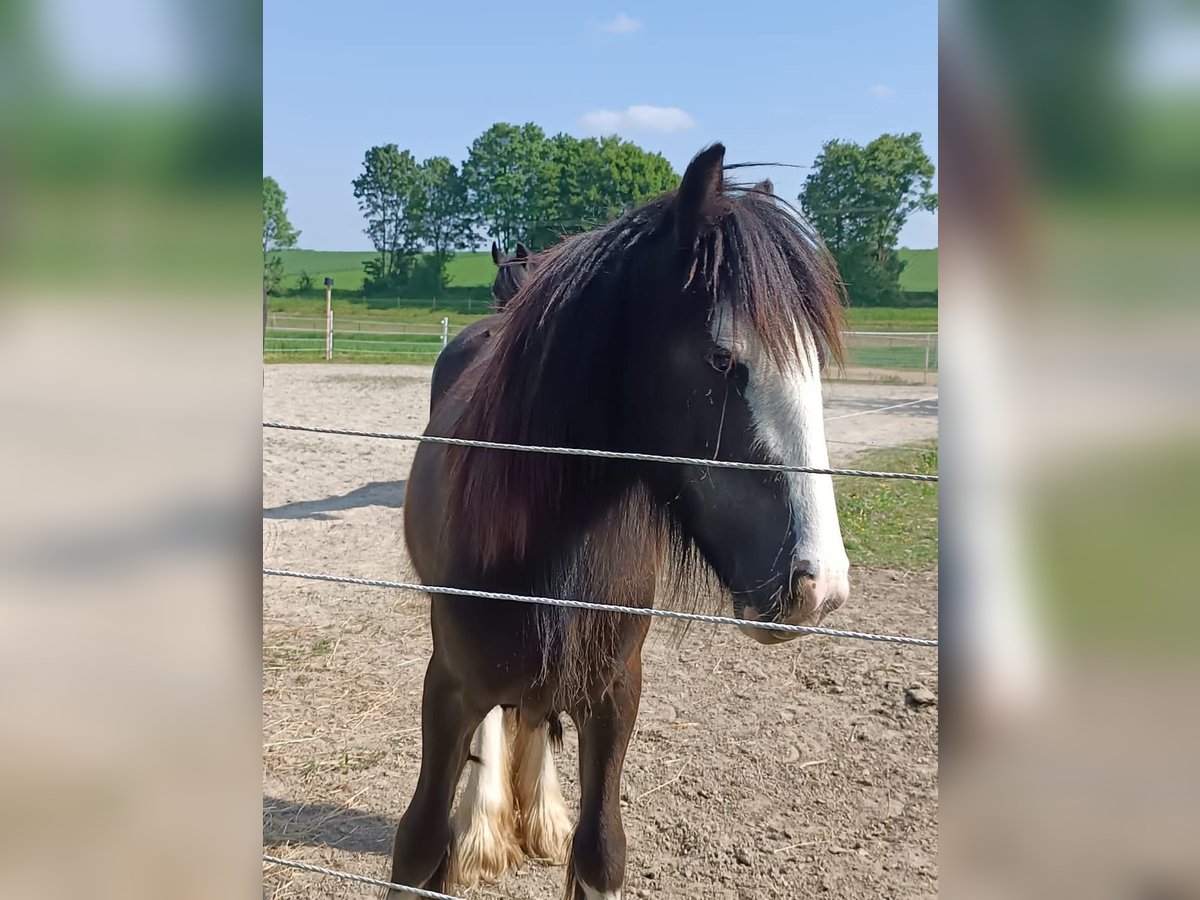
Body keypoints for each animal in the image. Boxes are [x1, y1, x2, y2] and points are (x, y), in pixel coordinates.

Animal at [388, 144, 849, 897]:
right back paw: (485, 827)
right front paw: (472, 833)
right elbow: (420, 842)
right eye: (722, 358)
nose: (821, 588)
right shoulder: (448, 687)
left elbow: (600, 848)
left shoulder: (615, 694)